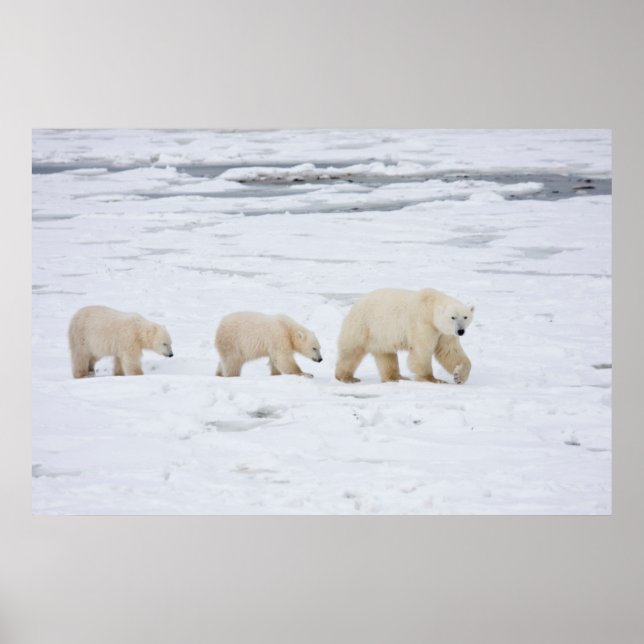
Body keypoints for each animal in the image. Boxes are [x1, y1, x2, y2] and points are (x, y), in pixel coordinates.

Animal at [335, 288, 474, 384]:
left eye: (465, 317)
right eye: (453, 317)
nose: (461, 331)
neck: (430, 306)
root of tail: (355, 304)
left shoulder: (444, 333)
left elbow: (450, 351)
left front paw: (459, 376)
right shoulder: (423, 324)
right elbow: (421, 351)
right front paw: (433, 379)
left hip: (381, 336)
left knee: (386, 355)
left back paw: (396, 377)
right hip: (364, 326)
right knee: (351, 351)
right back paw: (347, 377)